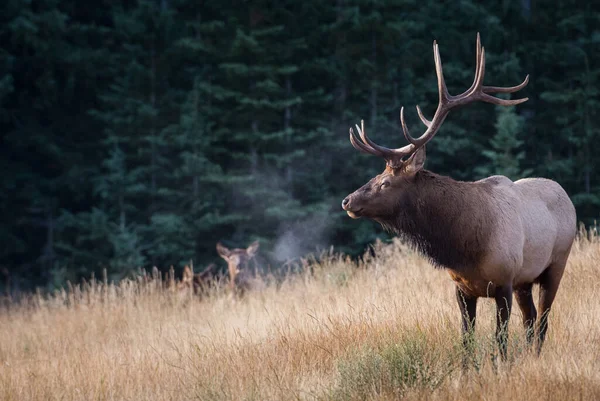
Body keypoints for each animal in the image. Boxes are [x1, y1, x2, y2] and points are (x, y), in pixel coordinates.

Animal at [342, 35, 576, 360]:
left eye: (385, 183)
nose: (347, 201)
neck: (466, 246)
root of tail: (565, 194)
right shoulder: (463, 288)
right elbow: (466, 340)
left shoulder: (503, 281)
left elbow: (500, 339)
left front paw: (500, 367)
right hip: (525, 280)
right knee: (530, 320)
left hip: (555, 265)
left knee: (542, 320)